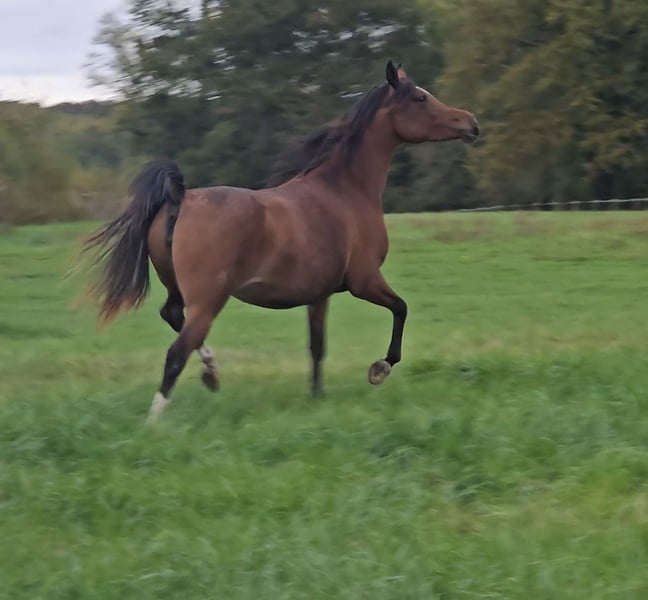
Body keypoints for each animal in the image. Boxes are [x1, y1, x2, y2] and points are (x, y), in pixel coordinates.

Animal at [82, 60, 479, 423]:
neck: (344, 191)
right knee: (176, 352)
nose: (471, 123)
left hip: (180, 290)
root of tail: (180, 197)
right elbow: (401, 309)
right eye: (420, 97)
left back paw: (212, 372)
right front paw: (379, 369)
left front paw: (317, 397)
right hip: (208, 300)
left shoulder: (319, 294)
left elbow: (317, 347)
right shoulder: (364, 280)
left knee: (172, 317)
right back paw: (156, 421)